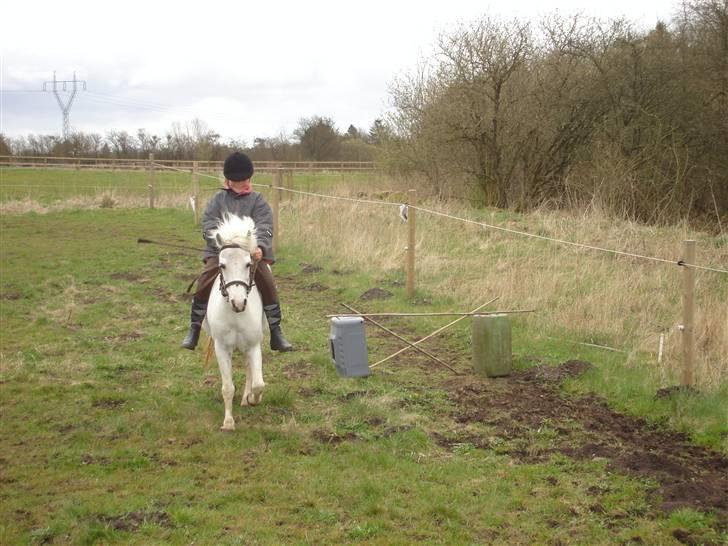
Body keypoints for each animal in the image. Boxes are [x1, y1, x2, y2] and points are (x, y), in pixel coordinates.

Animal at [202, 212, 264, 430]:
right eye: (222, 265)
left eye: (248, 264)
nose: (238, 303)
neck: (235, 314)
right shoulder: (221, 348)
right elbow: (227, 388)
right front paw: (228, 422)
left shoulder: (254, 345)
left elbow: (259, 384)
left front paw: (253, 399)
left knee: (249, 368)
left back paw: (247, 398)